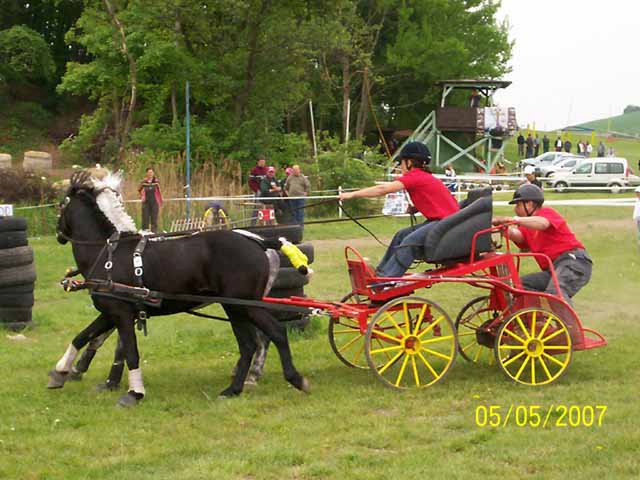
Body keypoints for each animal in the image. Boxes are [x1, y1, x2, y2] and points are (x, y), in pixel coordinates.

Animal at [48, 171, 308, 406]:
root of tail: (260, 242)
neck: (107, 253)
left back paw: (284, 379)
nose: (58, 234)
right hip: (237, 307)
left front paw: (134, 393)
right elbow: (83, 336)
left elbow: (129, 351)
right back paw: (238, 387)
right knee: (257, 341)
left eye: (61, 205)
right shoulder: (113, 312)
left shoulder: (120, 313)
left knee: (266, 336)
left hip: (241, 305)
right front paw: (61, 372)